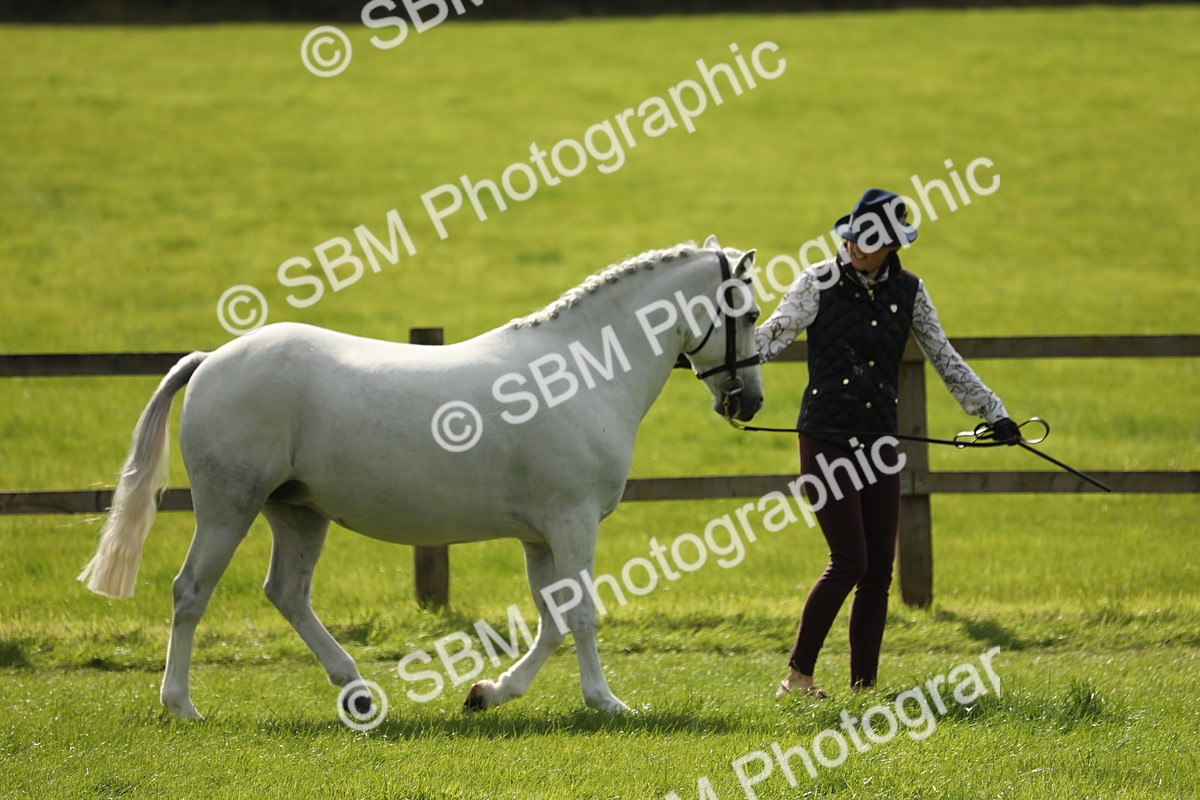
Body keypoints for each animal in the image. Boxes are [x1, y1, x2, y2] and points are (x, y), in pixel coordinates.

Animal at [78, 236, 764, 720]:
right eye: (750, 311)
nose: (750, 401)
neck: (579, 371)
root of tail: (211, 359)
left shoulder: (540, 534)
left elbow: (552, 620)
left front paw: (489, 692)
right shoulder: (571, 522)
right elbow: (581, 614)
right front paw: (607, 702)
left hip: (297, 511)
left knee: (287, 593)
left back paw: (356, 691)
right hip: (229, 506)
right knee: (191, 591)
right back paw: (181, 705)